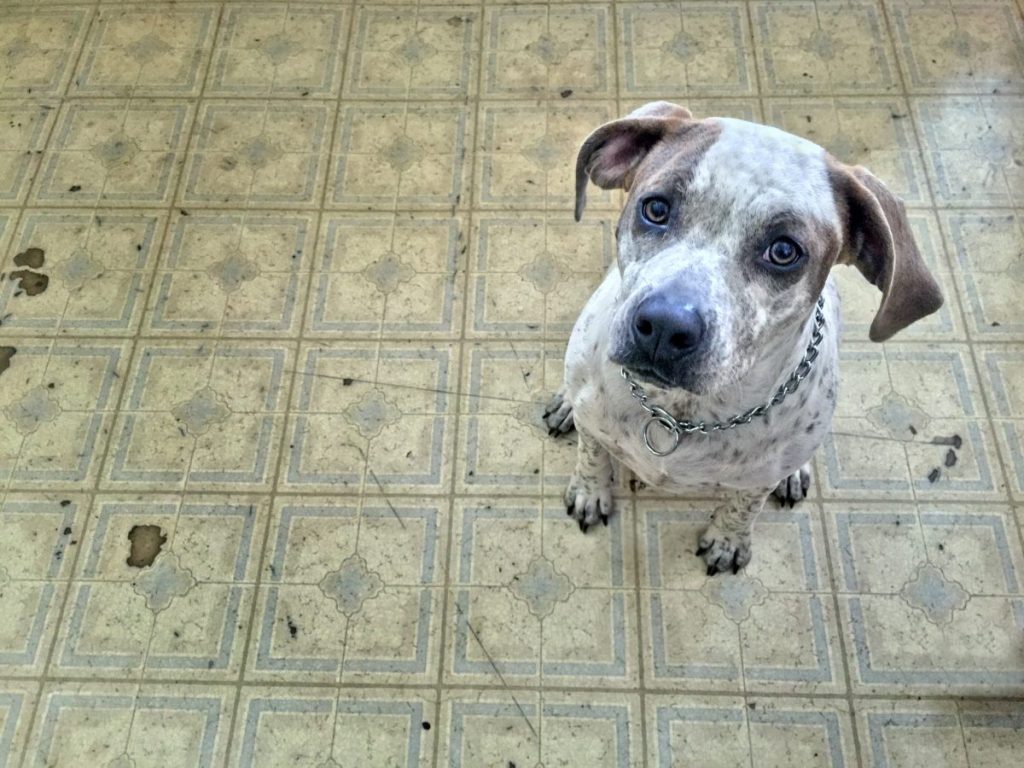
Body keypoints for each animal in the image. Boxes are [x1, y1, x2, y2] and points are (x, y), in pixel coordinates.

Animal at [544, 103, 942, 577]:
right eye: (656, 208)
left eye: (784, 251)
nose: (664, 326)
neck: (678, 414)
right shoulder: (594, 423)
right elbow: (592, 454)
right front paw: (590, 490)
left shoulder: (756, 479)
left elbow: (745, 504)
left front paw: (728, 539)